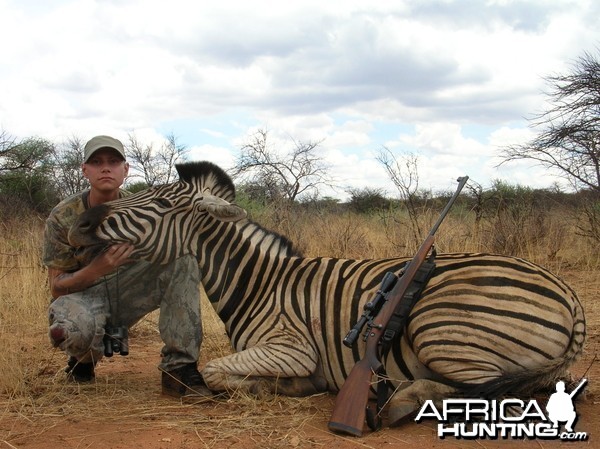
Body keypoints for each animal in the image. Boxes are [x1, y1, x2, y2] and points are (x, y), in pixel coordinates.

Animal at [67, 160, 584, 424]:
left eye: (156, 203)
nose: (81, 223)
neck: (258, 282)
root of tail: (570, 297)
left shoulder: (290, 348)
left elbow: (214, 372)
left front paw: (281, 387)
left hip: (441, 330)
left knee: (490, 394)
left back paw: (403, 398)